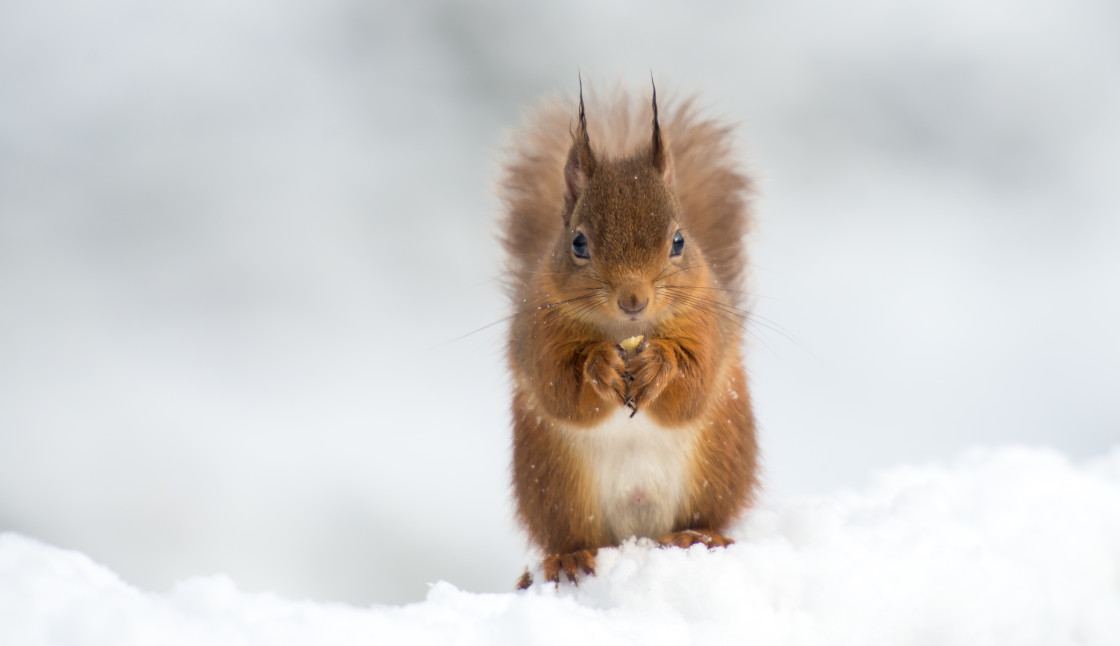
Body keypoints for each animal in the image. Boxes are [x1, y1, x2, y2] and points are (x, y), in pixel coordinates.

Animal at [501, 80, 757, 582]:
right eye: (578, 243)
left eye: (678, 241)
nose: (633, 299)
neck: (622, 331)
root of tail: (637, 533)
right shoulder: (539, 331)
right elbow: (559, 388)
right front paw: (599, 365)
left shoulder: (707, 325)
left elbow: (693, 387)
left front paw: (660, 363)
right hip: (556, 487)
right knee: (570, 535)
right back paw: (569, 557)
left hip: (717, 467)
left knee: (706, 516)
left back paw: (698, 536)